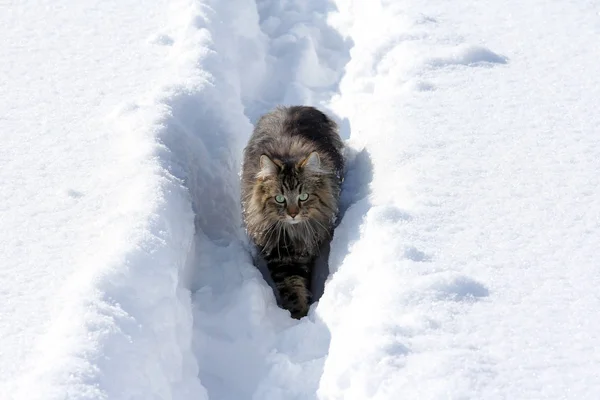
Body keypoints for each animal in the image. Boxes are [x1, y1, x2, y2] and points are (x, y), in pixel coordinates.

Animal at [239, 105, 342, 318]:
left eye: (303, 196)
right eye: (280, 198)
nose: (293, 213)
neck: (294, 233)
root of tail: (295, 107)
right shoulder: (280, 255)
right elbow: (292, 289)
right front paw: (298, 315)